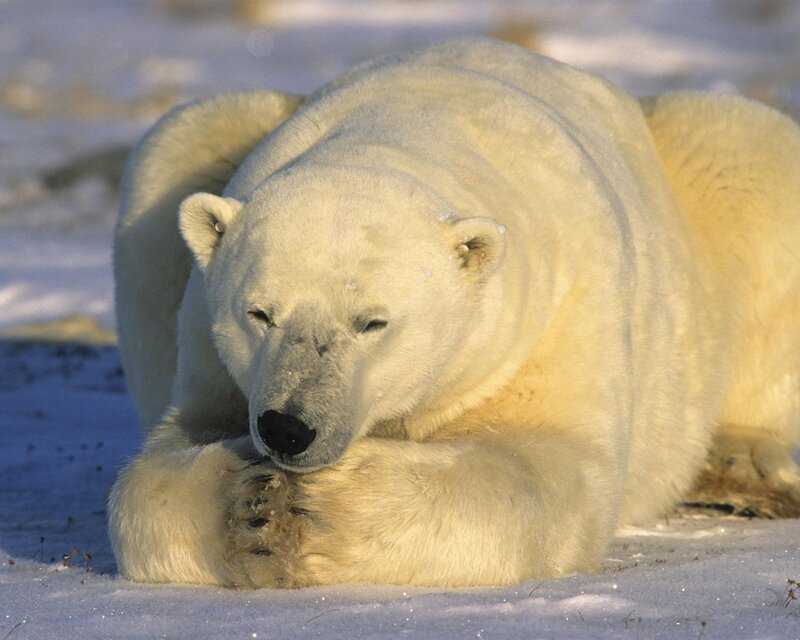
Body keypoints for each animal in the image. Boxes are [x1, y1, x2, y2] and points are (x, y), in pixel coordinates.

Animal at [108, 37, 800, 588]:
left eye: (372, 322)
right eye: (259, 313)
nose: (287, 428)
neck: (406, 127)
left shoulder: (557, 308)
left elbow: (550, 467)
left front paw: (320, 505)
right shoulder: (212, 349)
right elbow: (160, 465)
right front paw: (250, 504)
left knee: (754, 161)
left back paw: (746, 459)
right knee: (178, 144)